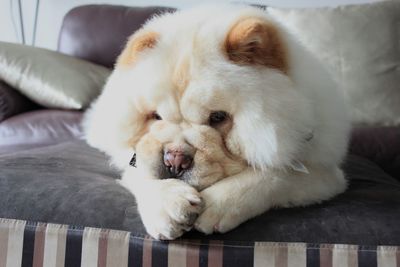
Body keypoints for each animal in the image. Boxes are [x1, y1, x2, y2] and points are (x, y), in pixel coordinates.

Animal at [83, 4, 350, 241]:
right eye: (156, 116)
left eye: (218, 117)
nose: (175, 159)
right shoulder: (131, 157)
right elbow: (139, 170)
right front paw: (170, 206)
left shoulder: (324, 173)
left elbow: (274, 174)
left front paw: (216, 206)